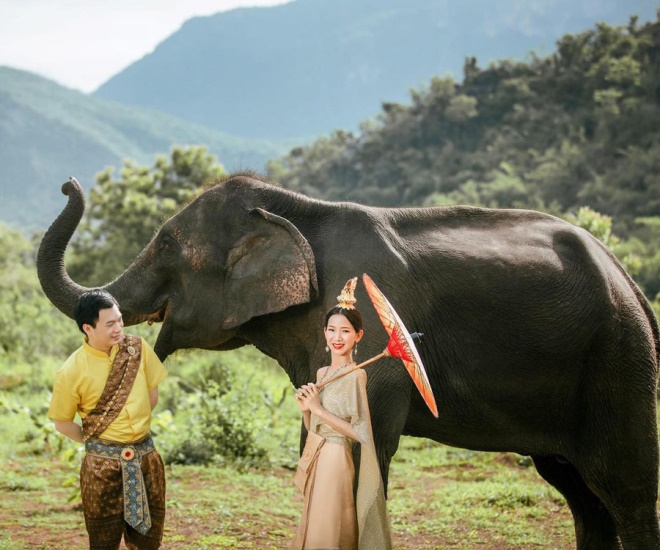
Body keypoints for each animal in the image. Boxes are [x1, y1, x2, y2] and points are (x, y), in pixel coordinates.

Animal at [38, 174, 659, 549]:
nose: (68, 183)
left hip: (619, 364)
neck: (288, 209)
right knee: (579, 491)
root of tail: (629, 281)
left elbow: (364, 441)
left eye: (166, 244)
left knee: (623, 488)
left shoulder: (373, 336)